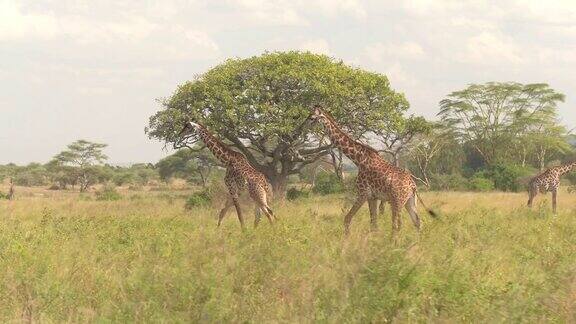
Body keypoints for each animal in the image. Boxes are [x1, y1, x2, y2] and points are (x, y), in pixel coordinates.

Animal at [308, 106, 434, 235]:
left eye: (312, 117)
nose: (306, 126)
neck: (358, 159)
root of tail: (413, 185)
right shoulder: (373, 197)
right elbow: (374, 223)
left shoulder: (363, 193)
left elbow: (347, 218)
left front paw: (346, 238)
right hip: (409, 201)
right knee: (417, 222)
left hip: (397, 200)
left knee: (397, 224)